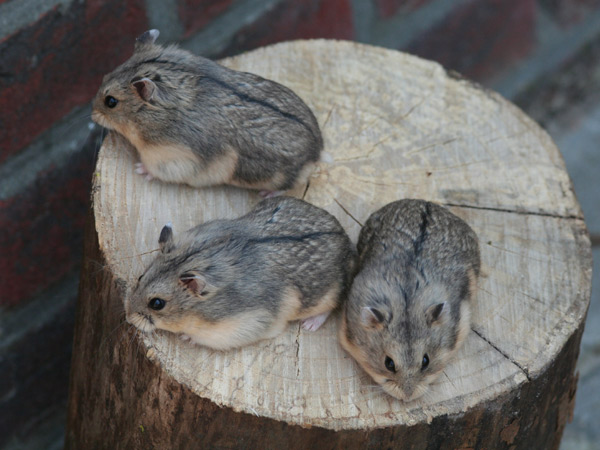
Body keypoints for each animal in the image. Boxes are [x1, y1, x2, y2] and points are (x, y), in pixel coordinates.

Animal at [91, 29, 324, 195]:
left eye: (111, 101)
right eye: (105, 76)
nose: (92, 115)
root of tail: (318, 152)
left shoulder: (173, 157)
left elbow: (155, 169)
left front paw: (139, 169)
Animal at [124, 196, 354, 348]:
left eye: (157, 304)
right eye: (140, 277)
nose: (128, 317)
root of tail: (345, 237)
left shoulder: (240, 327)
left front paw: (185, 337)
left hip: (329, 293)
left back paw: (309, 325)